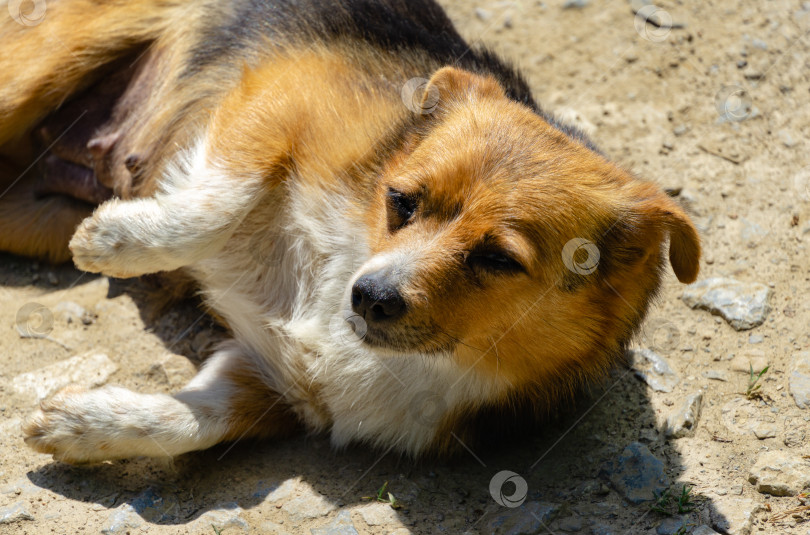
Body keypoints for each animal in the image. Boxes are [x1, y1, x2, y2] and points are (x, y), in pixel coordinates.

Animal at [0, 0, 696, 462]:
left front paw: (85, 424)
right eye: (400, 202)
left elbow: (192, 421)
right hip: (32, 71)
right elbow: (217, 201)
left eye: (499, 259)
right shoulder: (278, 99)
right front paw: (114, 240)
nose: (368, 298)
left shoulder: (267, 381)